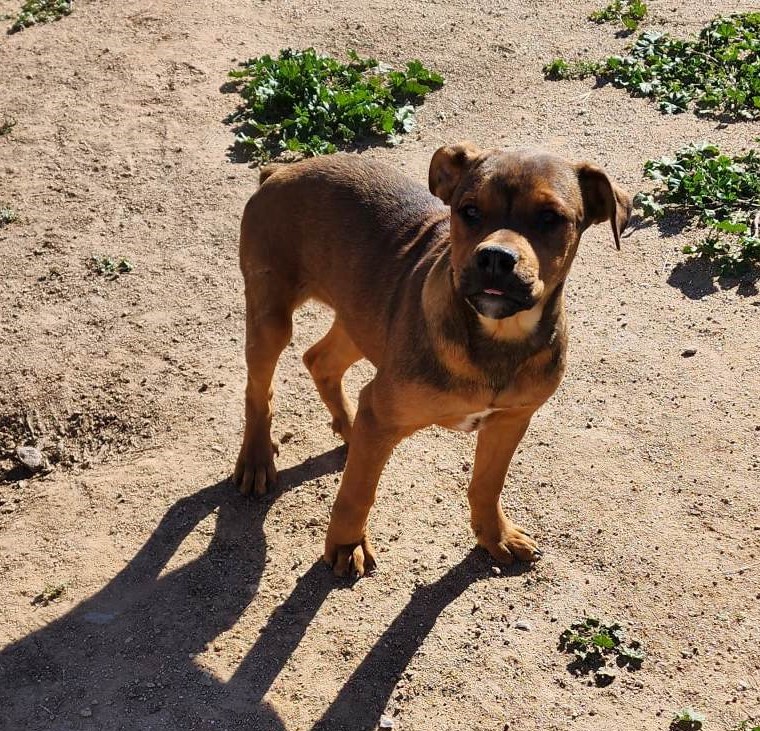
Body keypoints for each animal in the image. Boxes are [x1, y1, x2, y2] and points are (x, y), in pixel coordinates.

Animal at [235, 143, 632, 576]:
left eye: (550, 218)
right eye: (469, 210)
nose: (495, 257)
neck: (498, 339)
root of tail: (279, 171)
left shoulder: (510, 420)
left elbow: (487, 484)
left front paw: (495, 535)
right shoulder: (386, 409)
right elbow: (357, 492)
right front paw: (346, 543)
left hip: (363, 318)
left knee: (320, 360)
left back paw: (350, 428)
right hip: (272, 319)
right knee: (259, 389)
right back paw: (256, 459)